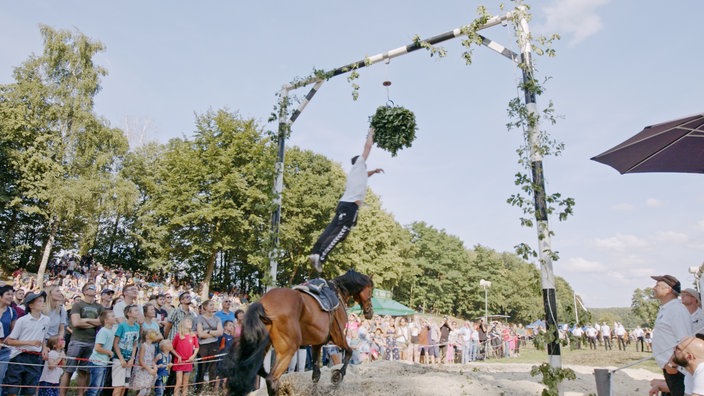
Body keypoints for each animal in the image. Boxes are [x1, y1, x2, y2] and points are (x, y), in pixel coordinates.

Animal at [230, 270, 374, 396]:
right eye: (371, 290)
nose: (369, 312)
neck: (338, 292)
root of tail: (262, 304)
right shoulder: (339, 337)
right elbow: (349, 352)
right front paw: (337, 376)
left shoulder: (317, 344)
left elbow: (316, 374)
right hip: (288, 349)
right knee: (271, 378)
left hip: (263, 347)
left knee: (259, 372)